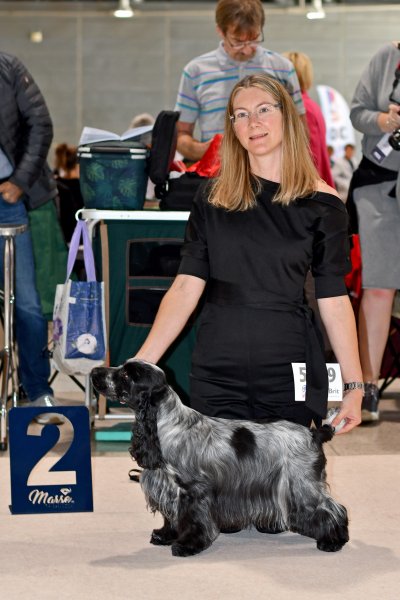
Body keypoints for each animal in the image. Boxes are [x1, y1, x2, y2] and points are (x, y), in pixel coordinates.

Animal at [91, 359, 349, 557]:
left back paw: (334, 541)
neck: (167, 424)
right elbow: (171, 517)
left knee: (332, 508)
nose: (94, 372)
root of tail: (314, 433)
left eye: (126, 374)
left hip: (301, 484)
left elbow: (192, 520)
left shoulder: (193, 490)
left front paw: (187, 546)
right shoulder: (169, 488)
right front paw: (164, 536)